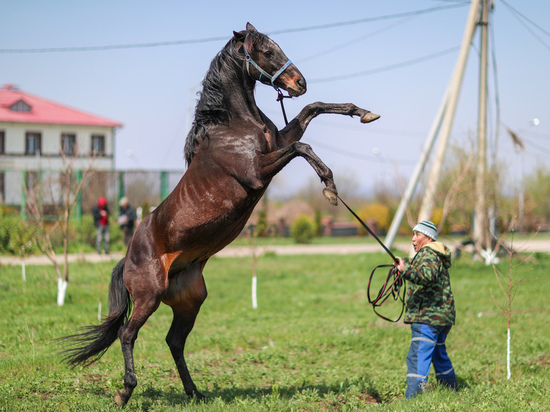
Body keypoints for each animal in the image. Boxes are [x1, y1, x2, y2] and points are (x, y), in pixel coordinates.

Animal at [63, 22, 380, 406]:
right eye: (266, 51)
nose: (299, 82)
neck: (233, 125)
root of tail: (128, 256)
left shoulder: (277, 143)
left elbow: (312, 111)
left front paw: (363, 112)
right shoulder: (259, 171)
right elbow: (302, 146)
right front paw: (330, 187)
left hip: (190, 301)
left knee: (174, 341)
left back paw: (194, 392)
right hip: (149, 297)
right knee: (127, 333)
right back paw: (125, 392)